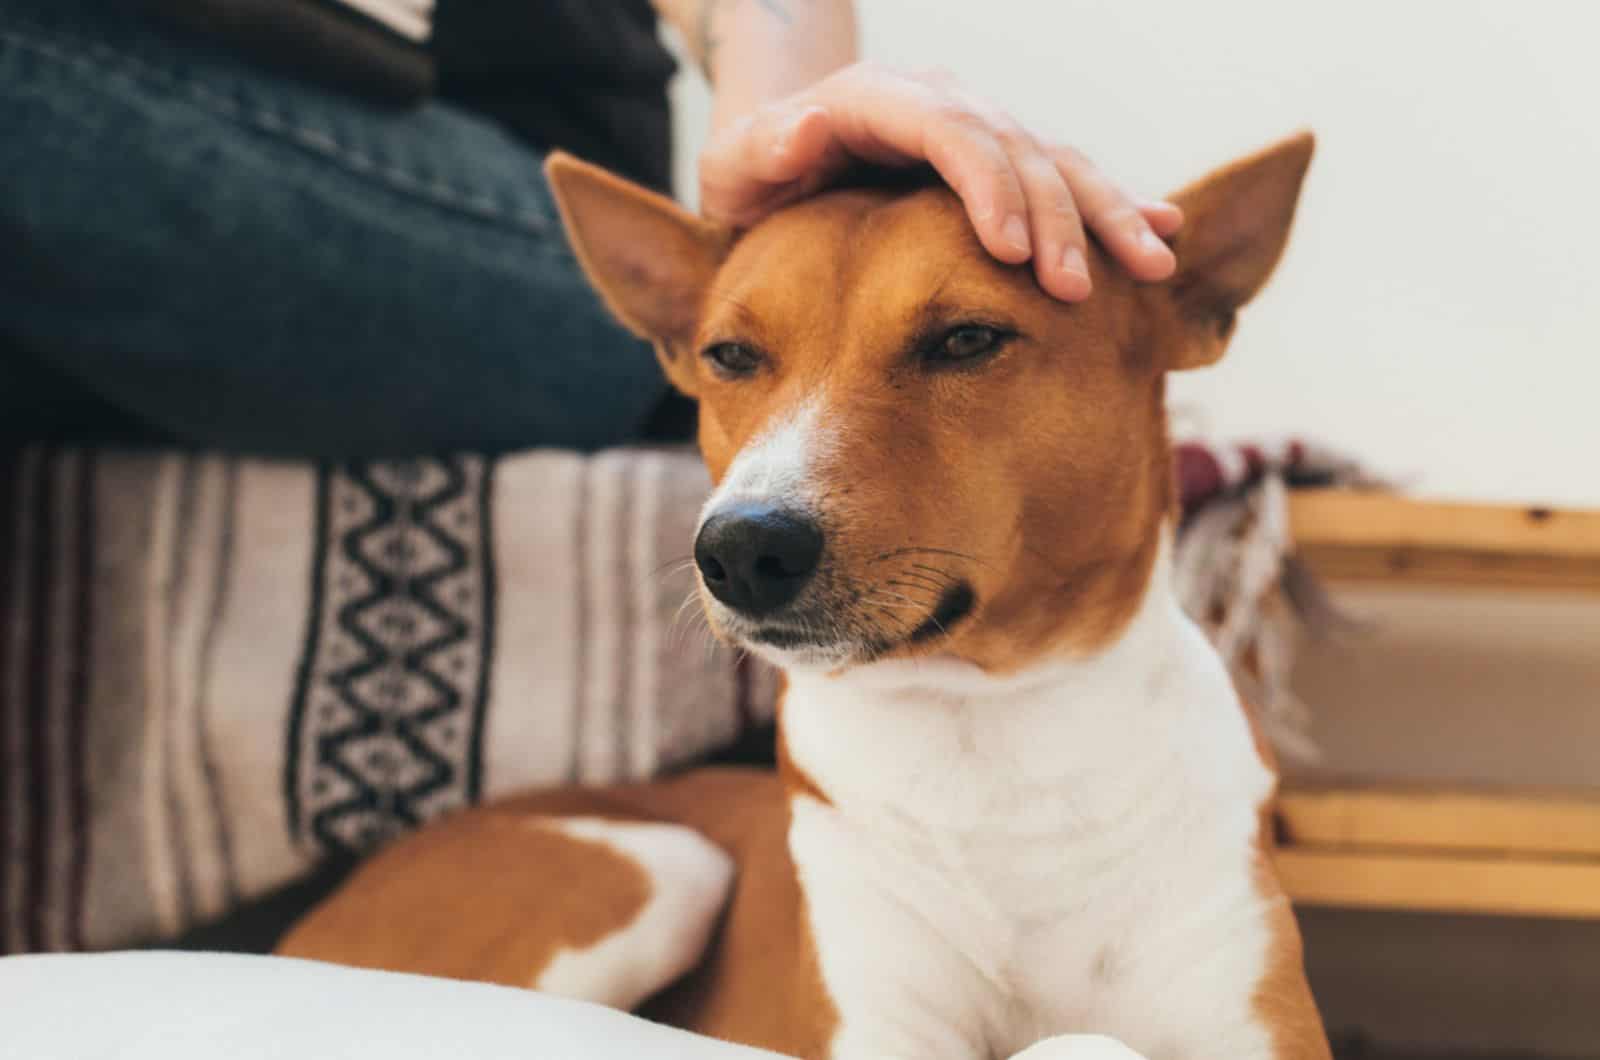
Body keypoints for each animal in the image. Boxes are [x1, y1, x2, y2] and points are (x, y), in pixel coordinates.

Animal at [281, 132, 1331, 1060]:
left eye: (967, 339)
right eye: (730, 356)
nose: (741, 547)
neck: (989, 744)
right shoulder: (877, 1032)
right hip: (659, 868)